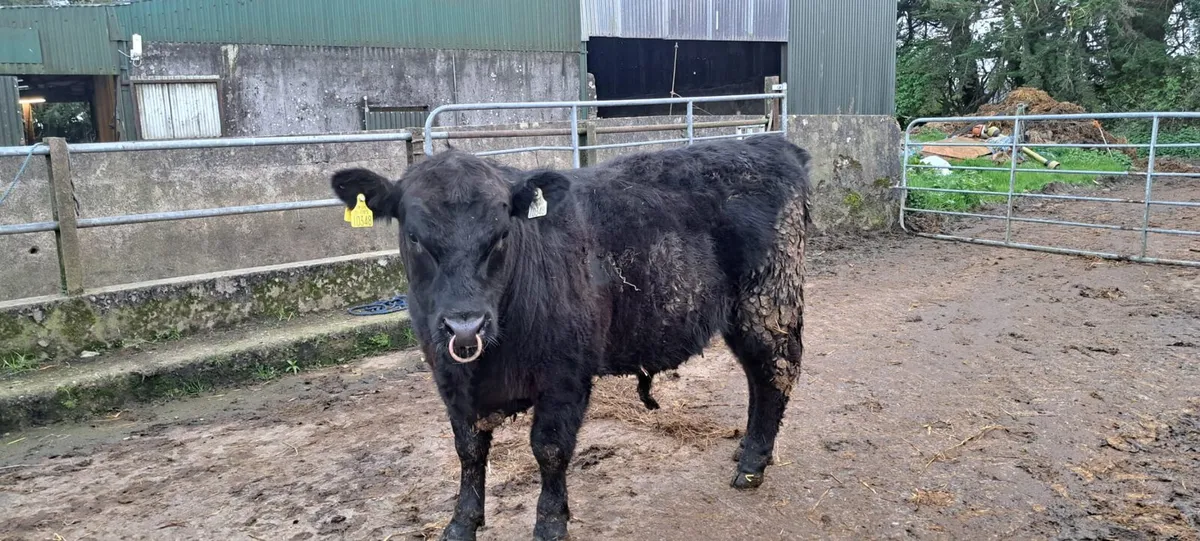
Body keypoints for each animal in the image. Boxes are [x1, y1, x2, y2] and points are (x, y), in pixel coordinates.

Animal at [330, 134, 811, 541]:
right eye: (414, 237)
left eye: (500, 234)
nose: (465, 327)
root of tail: (772, 144)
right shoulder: (448, 377)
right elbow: (468, 449)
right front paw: (461, 523)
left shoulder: (564, 377)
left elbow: (549, 449)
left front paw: (549, 523)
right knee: (757, 377)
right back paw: (749, 449)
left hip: (768, 302)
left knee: (776, 372)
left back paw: (752, 465)